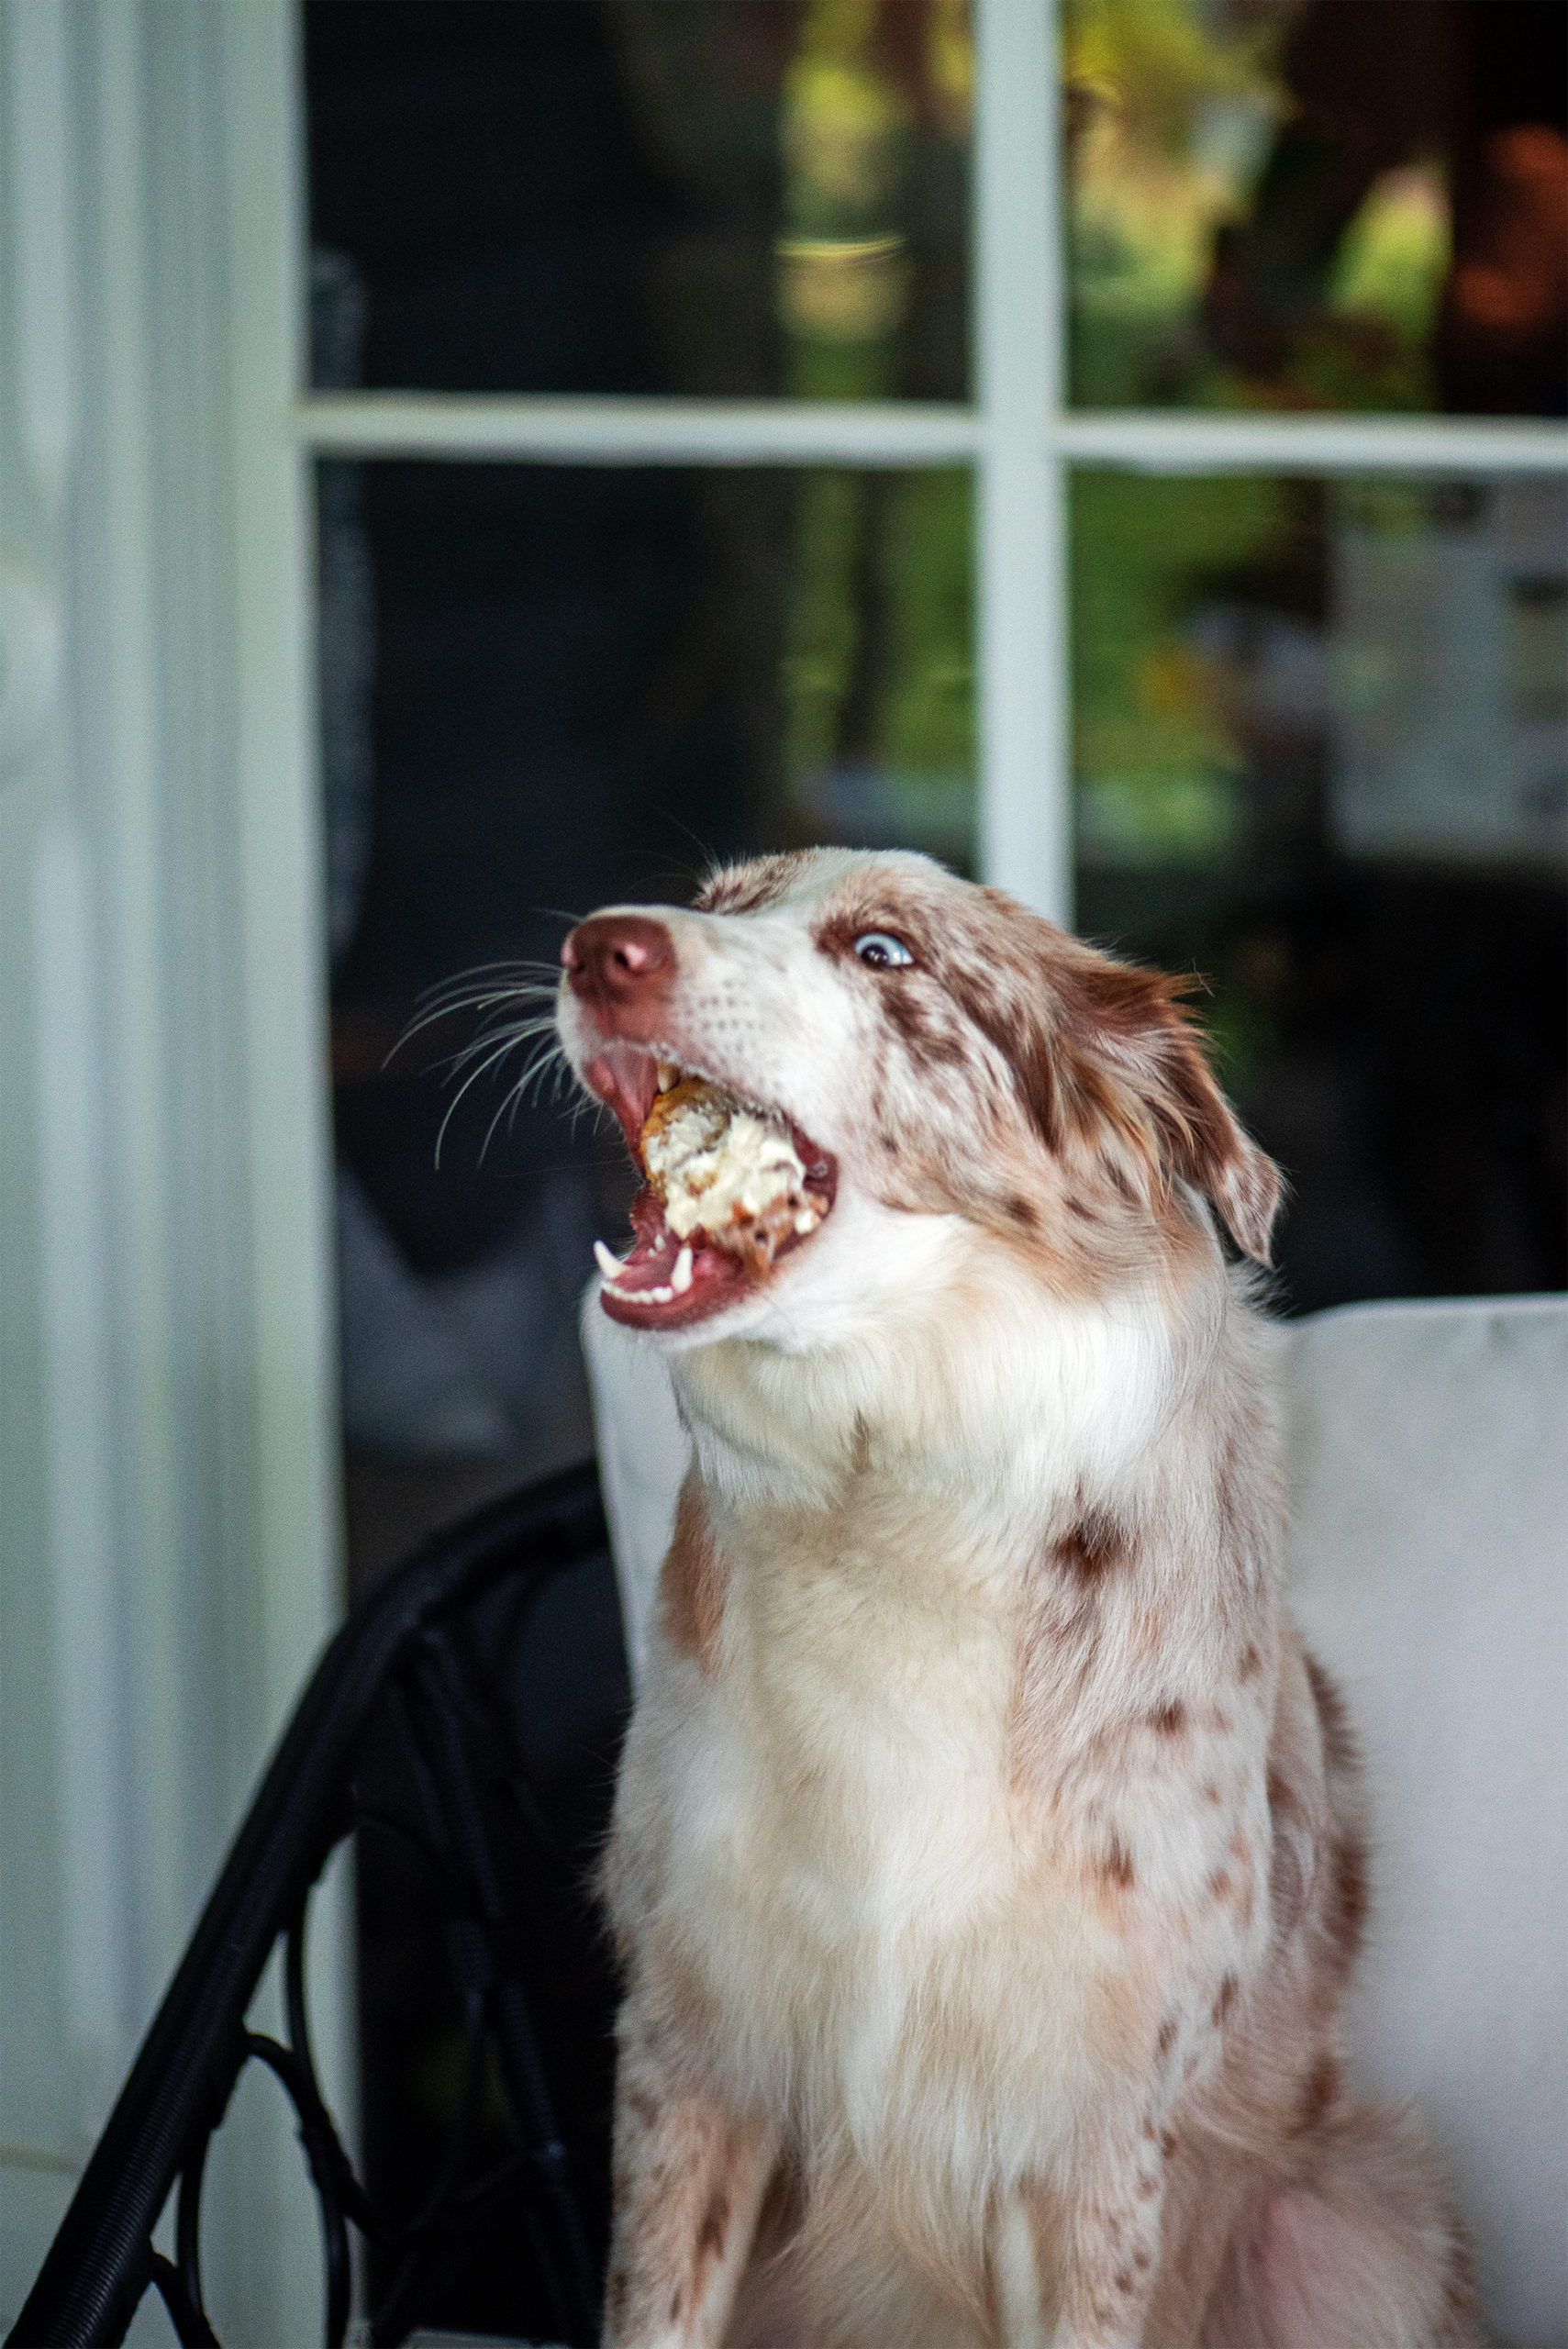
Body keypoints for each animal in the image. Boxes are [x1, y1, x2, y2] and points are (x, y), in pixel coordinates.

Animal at [553, 850, 1483, 2349]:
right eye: (718, 896)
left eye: (884, 950)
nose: (597, 949)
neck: (893, 1488)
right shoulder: (689, 2053)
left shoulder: (1089, 2138)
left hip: (1355, 2218)